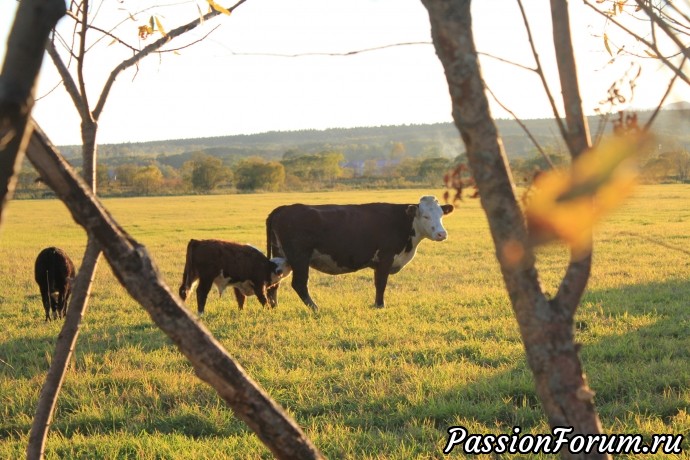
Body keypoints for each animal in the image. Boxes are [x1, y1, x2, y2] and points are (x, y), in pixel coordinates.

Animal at [264, 196, 452, 310]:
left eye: (441, 214)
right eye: (425, 216)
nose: (441, 234)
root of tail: (284, 208)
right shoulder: (386, 257)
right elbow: (381, 284)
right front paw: (380, 305)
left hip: (281, 255)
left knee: (275, 283)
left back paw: (274, 307)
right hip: (299, 258)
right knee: (300, 284)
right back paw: (315, 308)